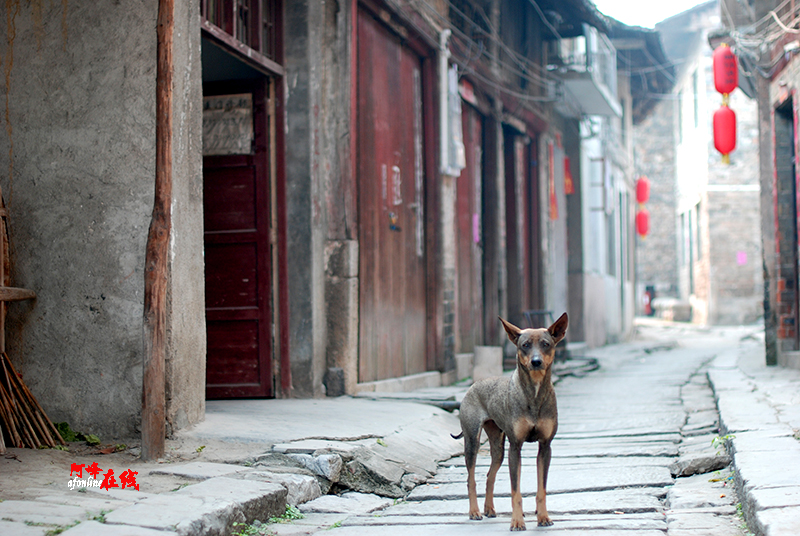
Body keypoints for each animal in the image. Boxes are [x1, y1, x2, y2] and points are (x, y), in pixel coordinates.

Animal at [450, 312, 568, 528]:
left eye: (546, 344)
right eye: (525, 345)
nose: (536, 362)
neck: (534, 393)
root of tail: (473, 385)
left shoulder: (545, 447)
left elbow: (542, 488)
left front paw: (543, 517)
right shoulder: (516, 446)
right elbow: (516, 491)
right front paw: (517, 522)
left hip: (498, 447)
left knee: (490, 476)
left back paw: (489, 509)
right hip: (472, 441)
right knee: (471, 478)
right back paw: (474, 511)